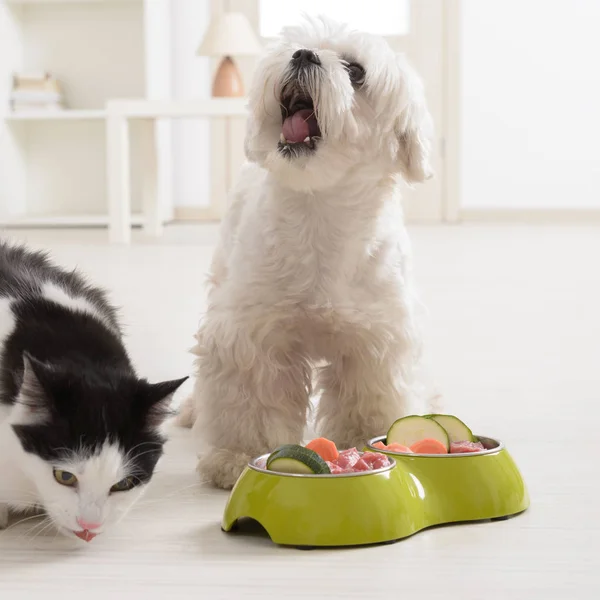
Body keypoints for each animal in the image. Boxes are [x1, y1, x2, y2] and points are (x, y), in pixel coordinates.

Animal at [180, 16, 434, 490]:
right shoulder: (252, 334)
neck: (320, 211)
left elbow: (368, 395)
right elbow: (250, 398)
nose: (303, 55)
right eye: (296, 45)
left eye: (356, 71)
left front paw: (363, 441)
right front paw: (234, 457)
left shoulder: (375, 337)